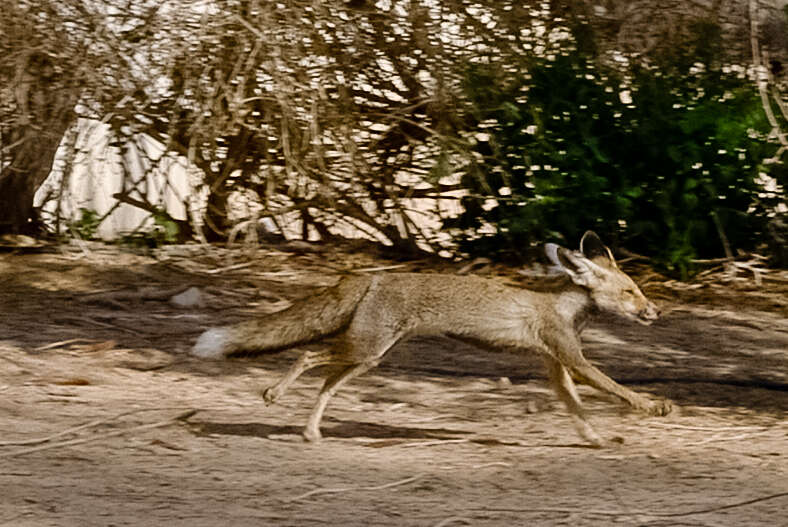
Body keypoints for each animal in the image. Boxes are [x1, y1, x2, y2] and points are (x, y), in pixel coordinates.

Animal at [191, 233, 672, 448]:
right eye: (631, 292)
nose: (655, 312)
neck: (563, 307)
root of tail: (369, 277)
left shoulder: (558, 367)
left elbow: (577, 411)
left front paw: (596, 440)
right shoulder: (574, 360)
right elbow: (617, 390)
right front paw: (654, 407)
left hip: (368, 358)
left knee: (325, 382)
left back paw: (310, 431)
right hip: (365, 349)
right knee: (308, 355)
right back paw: (275, 395)